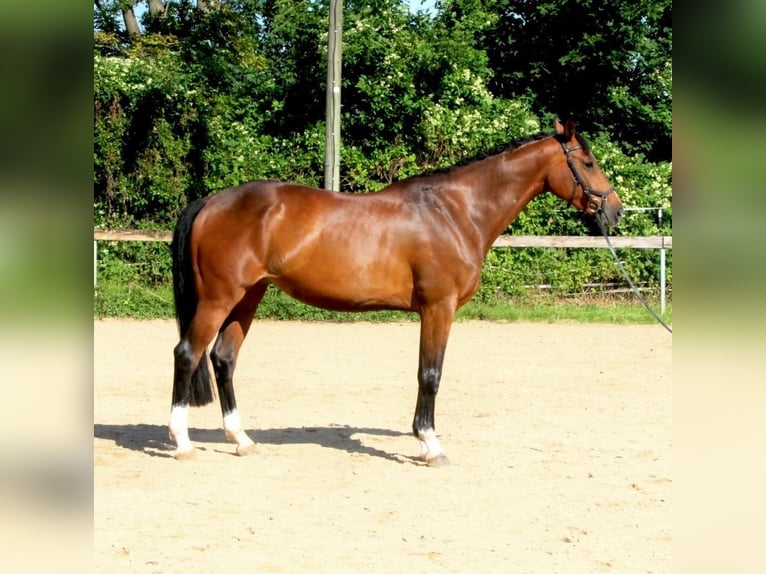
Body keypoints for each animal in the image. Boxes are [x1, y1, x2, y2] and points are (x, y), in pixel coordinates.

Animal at [168, 119, 623, 466]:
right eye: (588, 162)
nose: (614, 210)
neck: (455, 211)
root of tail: (211, 201)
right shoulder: (439, 308)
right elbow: (430, 374)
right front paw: (430, 445)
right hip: (219, 298)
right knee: (187, 354)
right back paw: (183, 442)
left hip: (249, 296)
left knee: (224, 358)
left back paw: (241, 440)